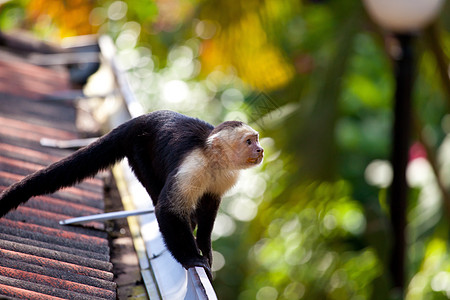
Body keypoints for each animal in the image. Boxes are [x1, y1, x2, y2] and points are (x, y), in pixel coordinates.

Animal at [0, 109, 264, 278]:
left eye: (256, 139)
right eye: (249, 141)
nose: (261, 149)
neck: (213, 159)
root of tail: (139, 120)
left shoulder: (225, 176)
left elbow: (209, 209)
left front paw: (206, 251)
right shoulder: (192, 168)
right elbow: (168, 210)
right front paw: (192, 259)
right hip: (139, 148)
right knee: (158, 192)